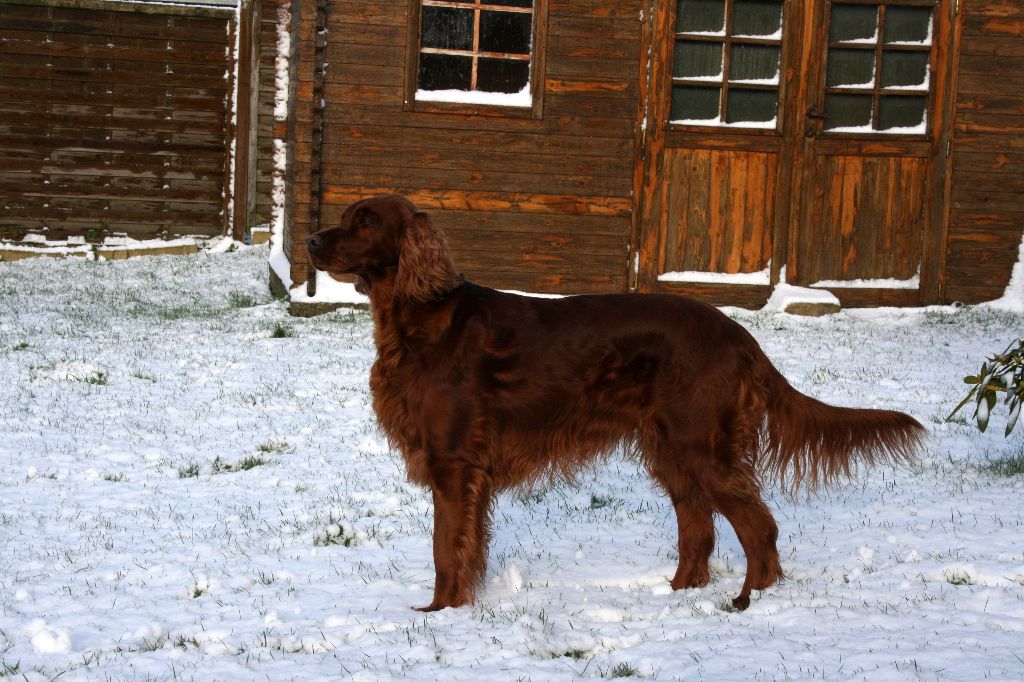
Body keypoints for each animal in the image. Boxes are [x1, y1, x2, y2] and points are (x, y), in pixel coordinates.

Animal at [307, 192, 925, 610]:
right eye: (345, 214)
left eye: (366, 221)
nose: (311, 241)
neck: (420, 316)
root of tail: (740, 336)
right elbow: (461, 545)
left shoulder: (455, 463)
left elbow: (445, 547)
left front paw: (441, 612)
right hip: (671, 450)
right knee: (699, 531)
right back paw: (675, 593)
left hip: (701, 446)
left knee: (757, 526)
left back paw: (746, 599)